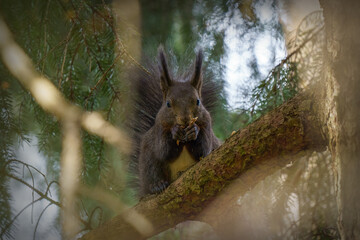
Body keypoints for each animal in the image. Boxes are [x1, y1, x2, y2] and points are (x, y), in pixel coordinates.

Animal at [128, 47, 221, 197]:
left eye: (198, 101)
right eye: (168, 104)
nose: (185, 119)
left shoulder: (207, 124)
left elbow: (204, 149)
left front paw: (194, 130)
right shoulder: (159, 127)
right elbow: (164, 151)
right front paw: (175, 132)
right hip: (148, 160)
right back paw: (157, 185)